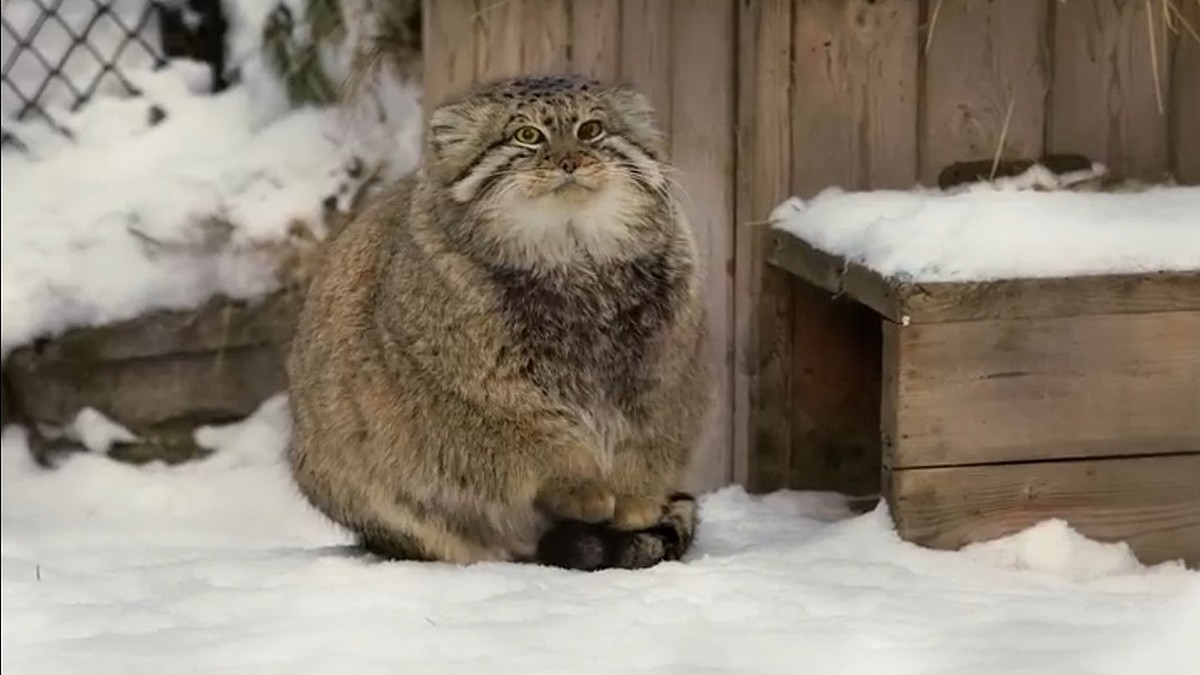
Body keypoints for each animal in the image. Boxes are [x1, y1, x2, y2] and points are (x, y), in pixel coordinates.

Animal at [283, 73, 710, 566]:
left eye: (591, 130)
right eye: (527, 135)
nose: (570, 160)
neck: (574, 254)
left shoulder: (661, 380)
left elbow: (641, 448)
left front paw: (635, 501)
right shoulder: (485, 396)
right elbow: (544, 448)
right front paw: (582, 491)